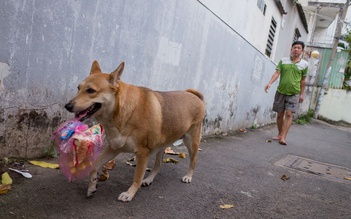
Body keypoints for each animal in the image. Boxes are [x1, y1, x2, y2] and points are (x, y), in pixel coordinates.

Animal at [65, 60, 206, 202]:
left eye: (90, 90)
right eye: (78, 88)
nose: (67, 106)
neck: (122, 112)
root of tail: (194, 95)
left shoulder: (143, 153)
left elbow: (137, 177)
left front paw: (129, 194)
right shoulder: (114, 148)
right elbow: (94, 166)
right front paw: (92, 186)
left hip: (191, 142)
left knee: (193, 160)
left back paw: (188, 176)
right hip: (161, 144)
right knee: (158, 164)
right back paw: (148, 180)